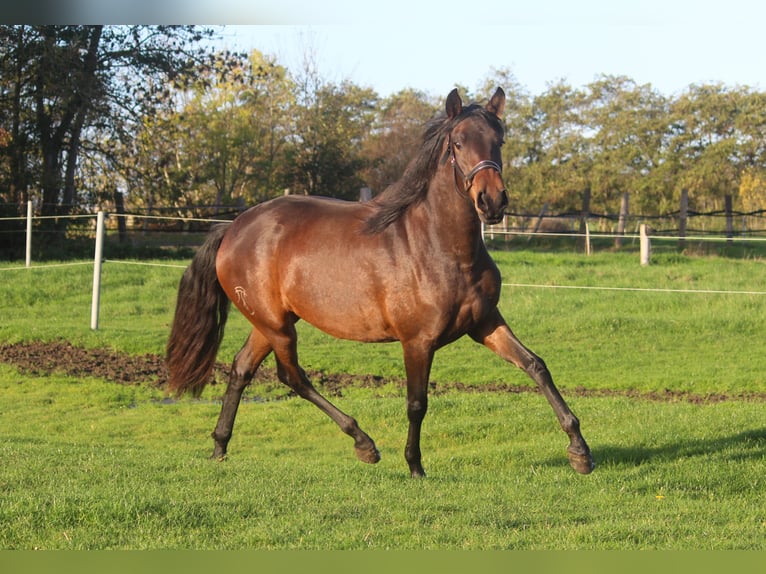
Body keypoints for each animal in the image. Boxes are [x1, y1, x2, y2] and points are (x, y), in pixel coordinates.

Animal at [168, 88, 596, 480]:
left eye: (500, 140)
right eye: (457, 143)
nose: (491, 202)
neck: (440, 248)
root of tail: (232, 228)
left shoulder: (485, 323)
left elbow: (536, 366)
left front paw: (580, 452)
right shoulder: (417, 341)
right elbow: (417, 403)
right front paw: (415, 467)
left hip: (269, 322)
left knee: (241, 369)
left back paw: (220, 446)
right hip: (277, 325)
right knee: (292, 377)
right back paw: (364, 444)